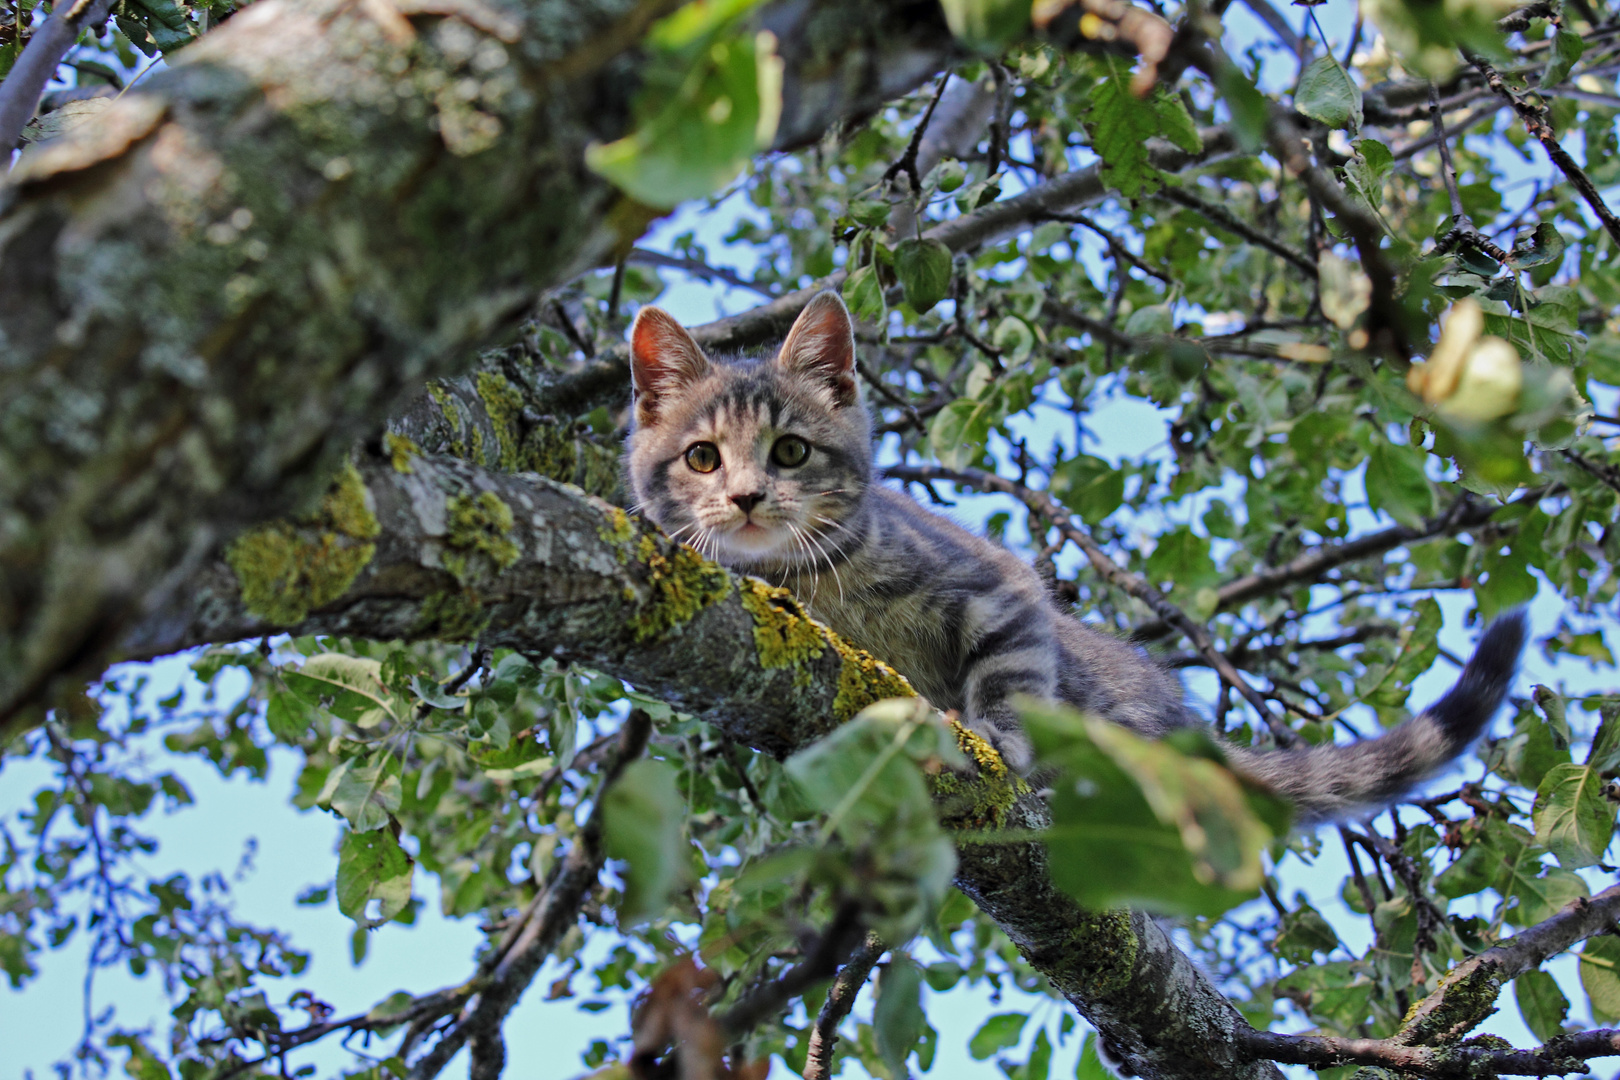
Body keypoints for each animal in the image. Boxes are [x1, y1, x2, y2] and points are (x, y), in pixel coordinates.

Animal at [622, 293, 1529, 819]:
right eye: (703, 458)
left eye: (791, 453)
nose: (746, 498)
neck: (808, 576)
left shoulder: (999, 584)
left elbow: (1011, 676)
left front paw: (997, 737)